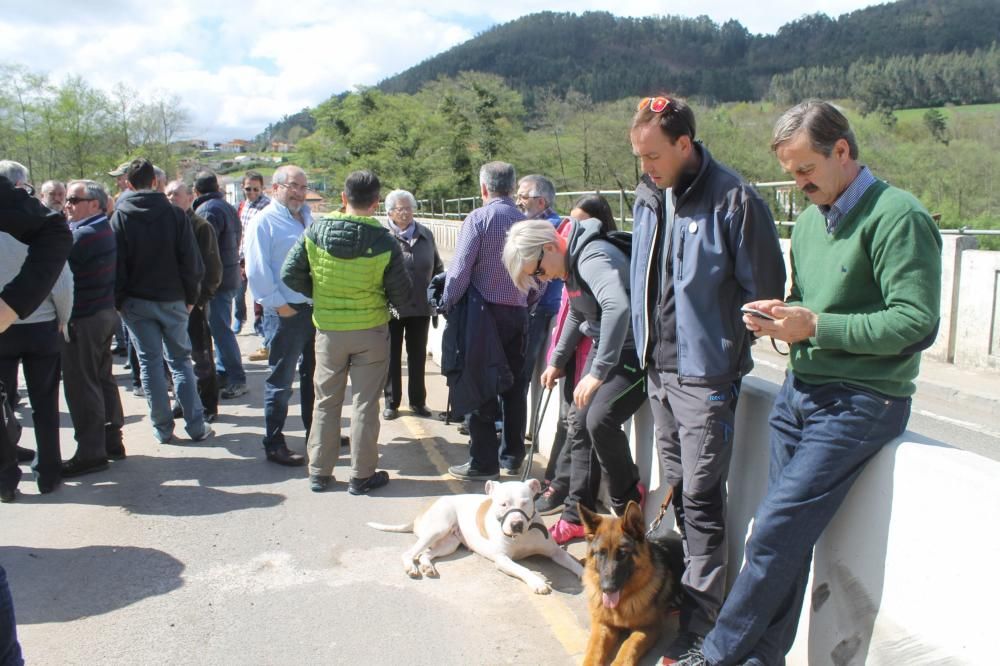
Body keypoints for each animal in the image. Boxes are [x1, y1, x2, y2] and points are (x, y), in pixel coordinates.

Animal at [370, 478, 584, 592]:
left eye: (525, 503)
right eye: (503, 504)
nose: (516, 524)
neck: (521, 536)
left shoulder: (556, 552)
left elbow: (573, 562)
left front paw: (584, 574)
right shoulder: (503, 560)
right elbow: (523, 569)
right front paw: (537, 582)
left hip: (449, 543)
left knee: (425, 554)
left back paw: (428, 567)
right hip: (438, 528)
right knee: (409, 553)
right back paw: (411, 568)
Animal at [584, 498, 684, 664]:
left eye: (622, 554)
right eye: (601, 553)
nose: (607, 589)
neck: (622, 602)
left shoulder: (648, 628)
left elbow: (628, 646)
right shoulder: (603, 624)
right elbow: (595, 650)